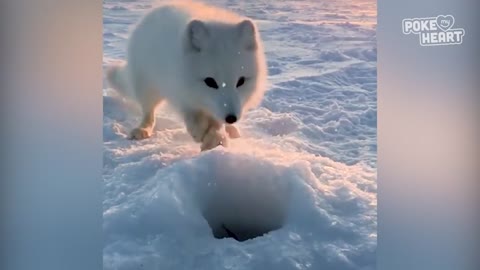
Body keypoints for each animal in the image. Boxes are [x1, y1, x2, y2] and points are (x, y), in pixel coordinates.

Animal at [105, 1, 268, 151]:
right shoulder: (180, 91)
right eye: (210, 82)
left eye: (241, 81)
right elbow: (192, 115)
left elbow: (216, 122)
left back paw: (231, 130)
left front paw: (216, 138)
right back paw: (142, 129)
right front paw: (201, 132)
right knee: (148, 112)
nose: (231, 118)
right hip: (146, 85)